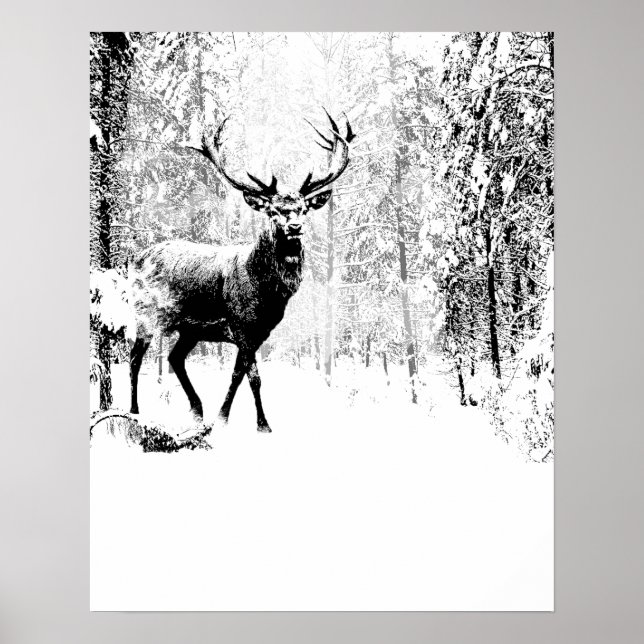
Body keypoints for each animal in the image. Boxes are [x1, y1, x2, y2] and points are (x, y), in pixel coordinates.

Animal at [129, 111, 354, 432]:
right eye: (273, 210)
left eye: (303, 208)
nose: (295, 227)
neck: (266, 294)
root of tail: (135, 259)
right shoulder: (242, 325)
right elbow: (250, 376)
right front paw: (251, 423)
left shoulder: (258, 332)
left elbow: (243, 375)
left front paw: (231, 420)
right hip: (145, 314)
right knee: (135, 358)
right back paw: (134, 411)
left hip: (190, 329)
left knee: (174, 357)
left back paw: (197, 410)